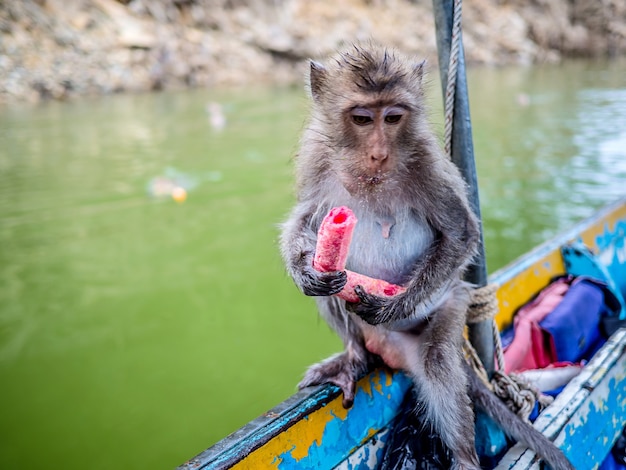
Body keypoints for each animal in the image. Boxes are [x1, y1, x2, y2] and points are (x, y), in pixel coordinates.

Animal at [280, 45, 572, 470]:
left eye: (393, 117)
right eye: (362, 118)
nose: (379, 153)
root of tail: (391, 347)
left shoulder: (429, 164)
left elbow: (462, 232)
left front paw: (394, 304)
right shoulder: (317, 159)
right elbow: (304, 218)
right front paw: (302, 270)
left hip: (451, 304)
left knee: (435, 359)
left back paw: (464, 457)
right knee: (334, 292)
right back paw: (353, 357)